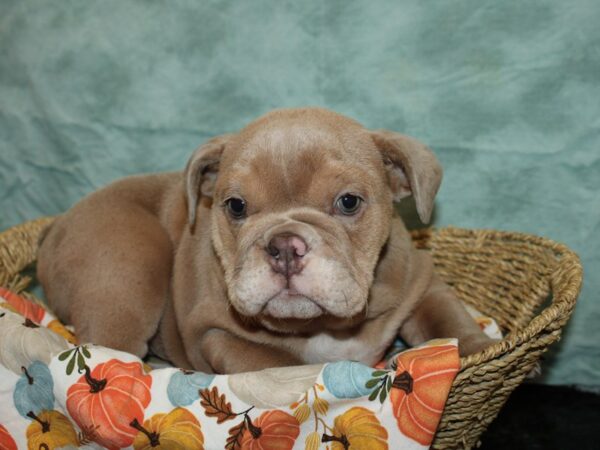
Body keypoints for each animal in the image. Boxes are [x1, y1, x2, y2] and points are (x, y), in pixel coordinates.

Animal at [38, 106, 496, 372]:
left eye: (349, 202)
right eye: (236, 206)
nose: (284, 246)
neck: (320, 326)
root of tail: (54, 229)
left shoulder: (421, 283)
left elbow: (448, 319)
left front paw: (477, 346)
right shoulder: (217, 336)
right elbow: (281, 364)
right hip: (130, 263)